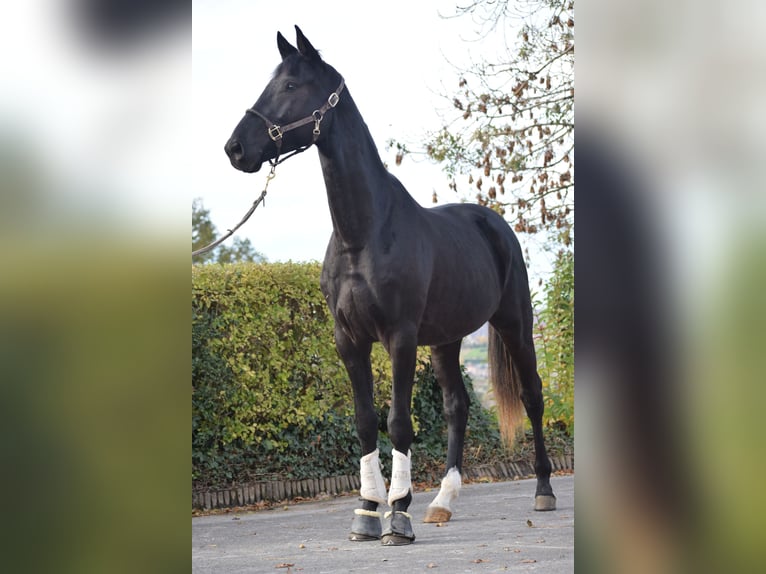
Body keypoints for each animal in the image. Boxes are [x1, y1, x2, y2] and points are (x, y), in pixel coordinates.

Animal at [224, 26, 556, 546]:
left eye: (291, 86)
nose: (236, 148)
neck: (364, 234)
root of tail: (495, 224)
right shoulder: (349, 340)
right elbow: (365, 423)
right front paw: (366, 511)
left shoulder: (399, 337)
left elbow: (399, 422)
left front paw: (397, 515)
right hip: (445, 340)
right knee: (457, 406)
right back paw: (442, 502)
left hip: (515, 325)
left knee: (533, 396)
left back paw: (543, 490)